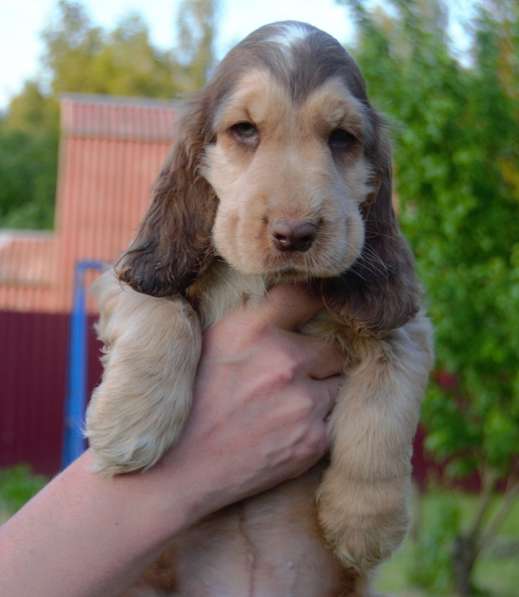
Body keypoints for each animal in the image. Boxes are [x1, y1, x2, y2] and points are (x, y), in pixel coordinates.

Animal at [86, 21, 434, 596]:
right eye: (245, 130)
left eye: (342, 139)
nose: (295, 234)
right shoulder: (126, 280)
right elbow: (165, 312)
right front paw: (129, 427)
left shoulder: (406, 325)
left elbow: (383, 410)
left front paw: (364, 523)